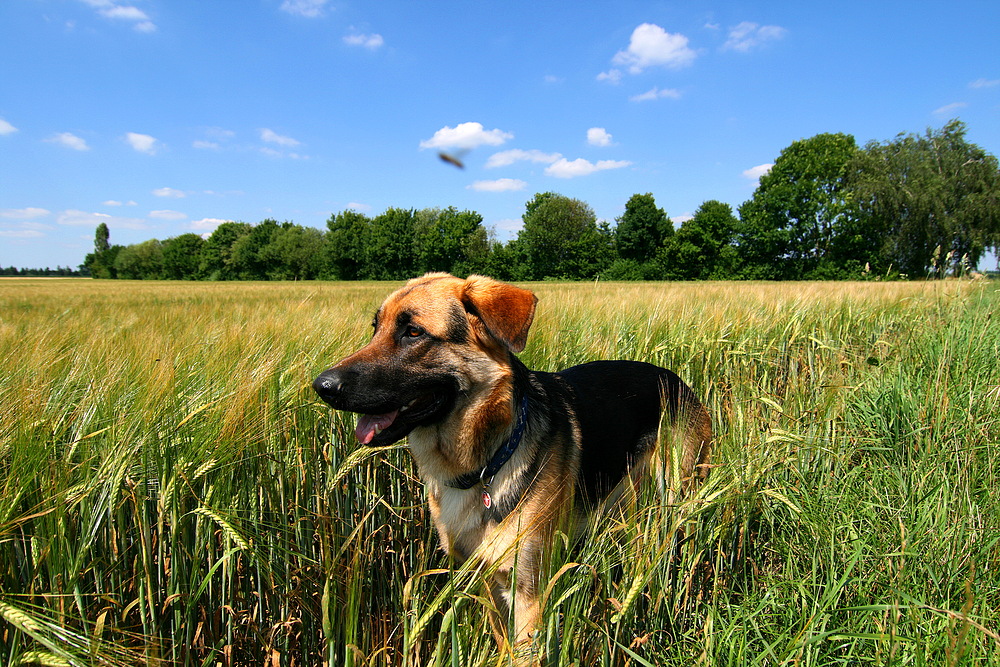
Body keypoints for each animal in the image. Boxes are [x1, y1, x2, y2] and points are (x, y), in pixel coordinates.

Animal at [312, 274, 712, 660]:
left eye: (413, 332)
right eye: (375, 328)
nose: (321, 386)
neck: (485, 462)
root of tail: (673, 378)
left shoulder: (529, 593)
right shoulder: (487, 579)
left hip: (678, 499)